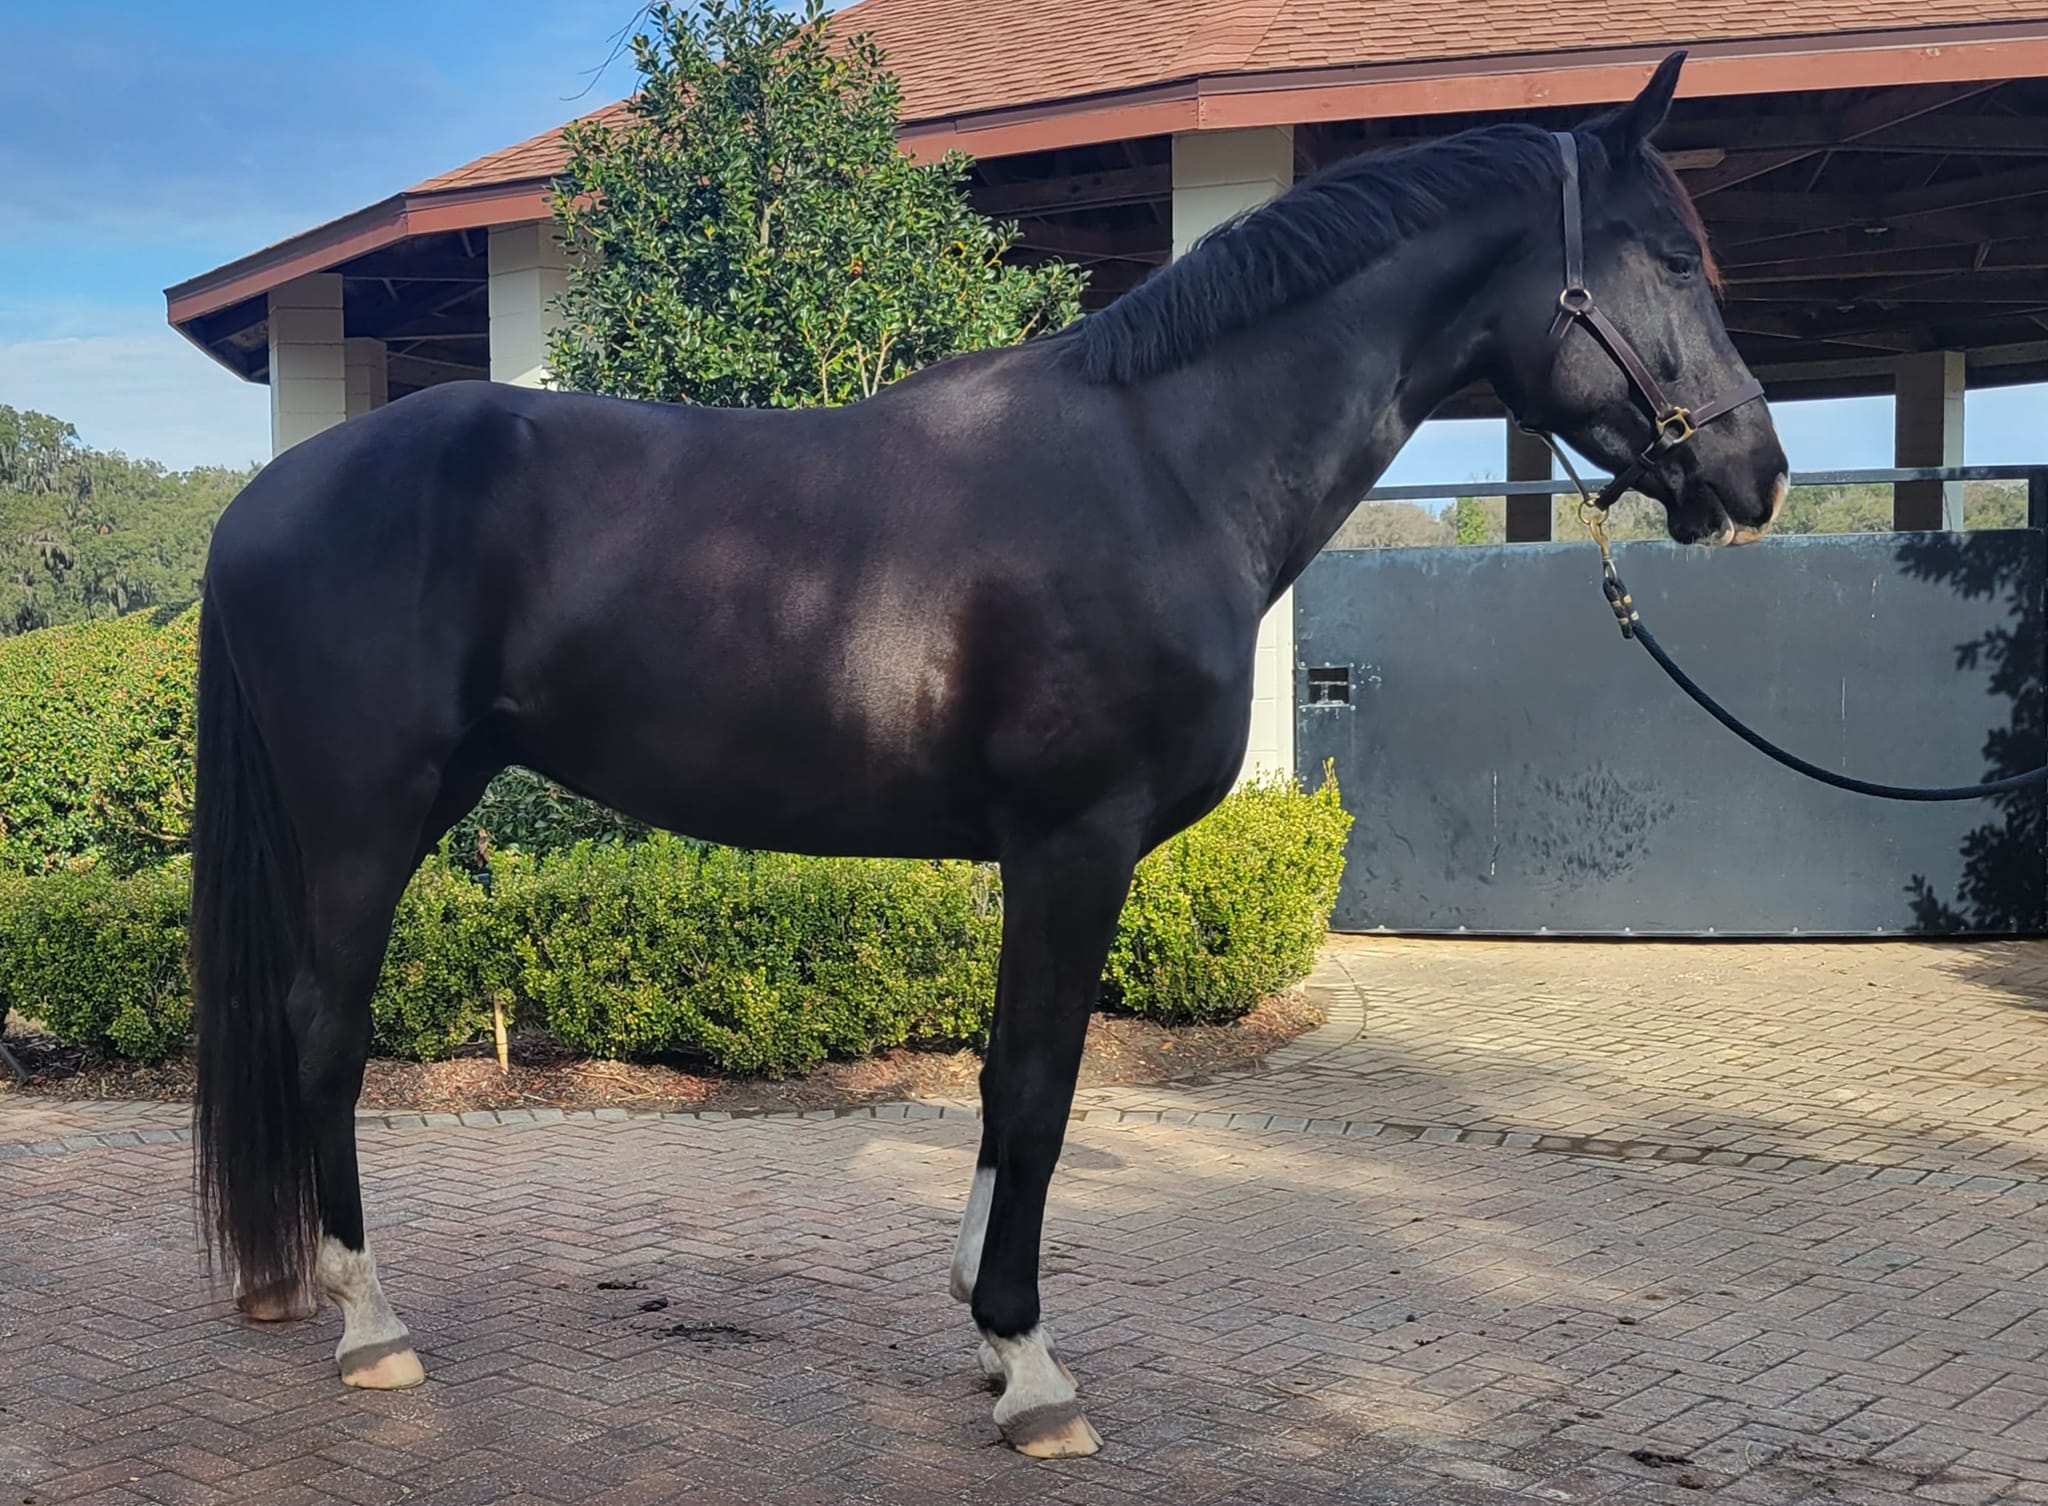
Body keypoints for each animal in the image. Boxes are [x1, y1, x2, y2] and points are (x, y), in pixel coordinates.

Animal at [191, 50, 1786, 1459]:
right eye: (1673, 258)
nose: (1754, 475)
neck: (1164, 471)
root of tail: (263, 500)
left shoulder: (1036, 853)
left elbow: (999, 1075)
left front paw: (978, 1312)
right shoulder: (1074, 840)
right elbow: (1037, 1080)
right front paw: (1029, 1367)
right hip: (365, 816)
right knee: (322, 1031)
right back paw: (371, 1323)